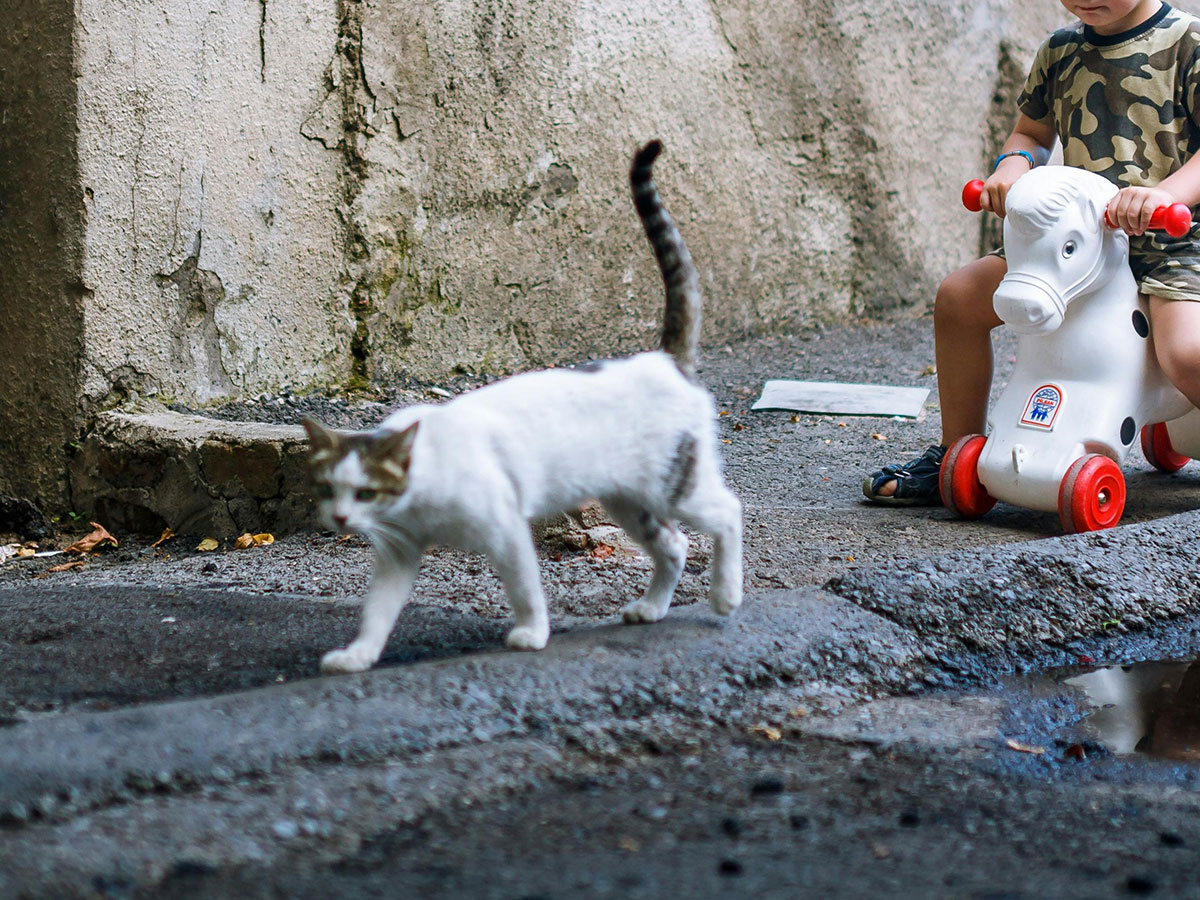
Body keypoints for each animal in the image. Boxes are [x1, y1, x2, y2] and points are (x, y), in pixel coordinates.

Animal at [302, 141, 739, 672]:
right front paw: (359, 655)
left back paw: (726, 595)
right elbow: (377, 612)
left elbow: (524, 588)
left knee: (728, 513)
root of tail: (661, 360)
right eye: (328, 489)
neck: (423, 485)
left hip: (674, 485)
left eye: (365, 492)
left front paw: (532, 633)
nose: (342, 520)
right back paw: (653, 607)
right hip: (630, 500)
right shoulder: (397, 552)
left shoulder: (505, 528)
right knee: (675, 545)